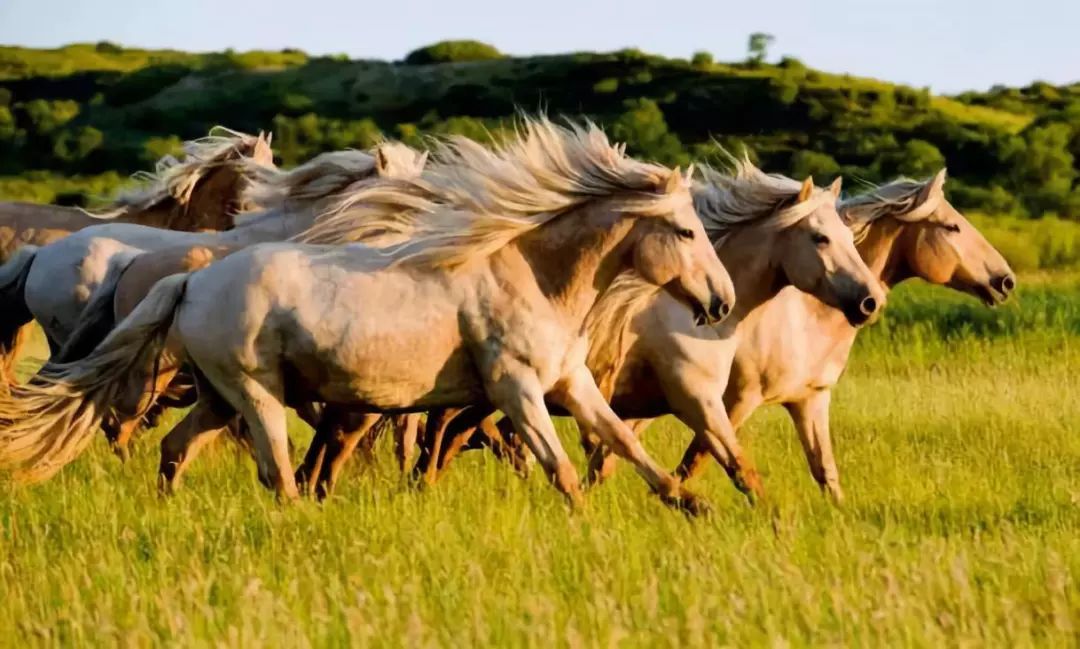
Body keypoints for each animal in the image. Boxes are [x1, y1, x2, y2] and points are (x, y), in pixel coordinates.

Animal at [669, 169, 1015, 498]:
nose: (1006, 280)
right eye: (952, 227)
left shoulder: (811, 399)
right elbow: (694, 464)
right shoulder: (733, 401)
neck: (804, 318)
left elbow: (827, 474)